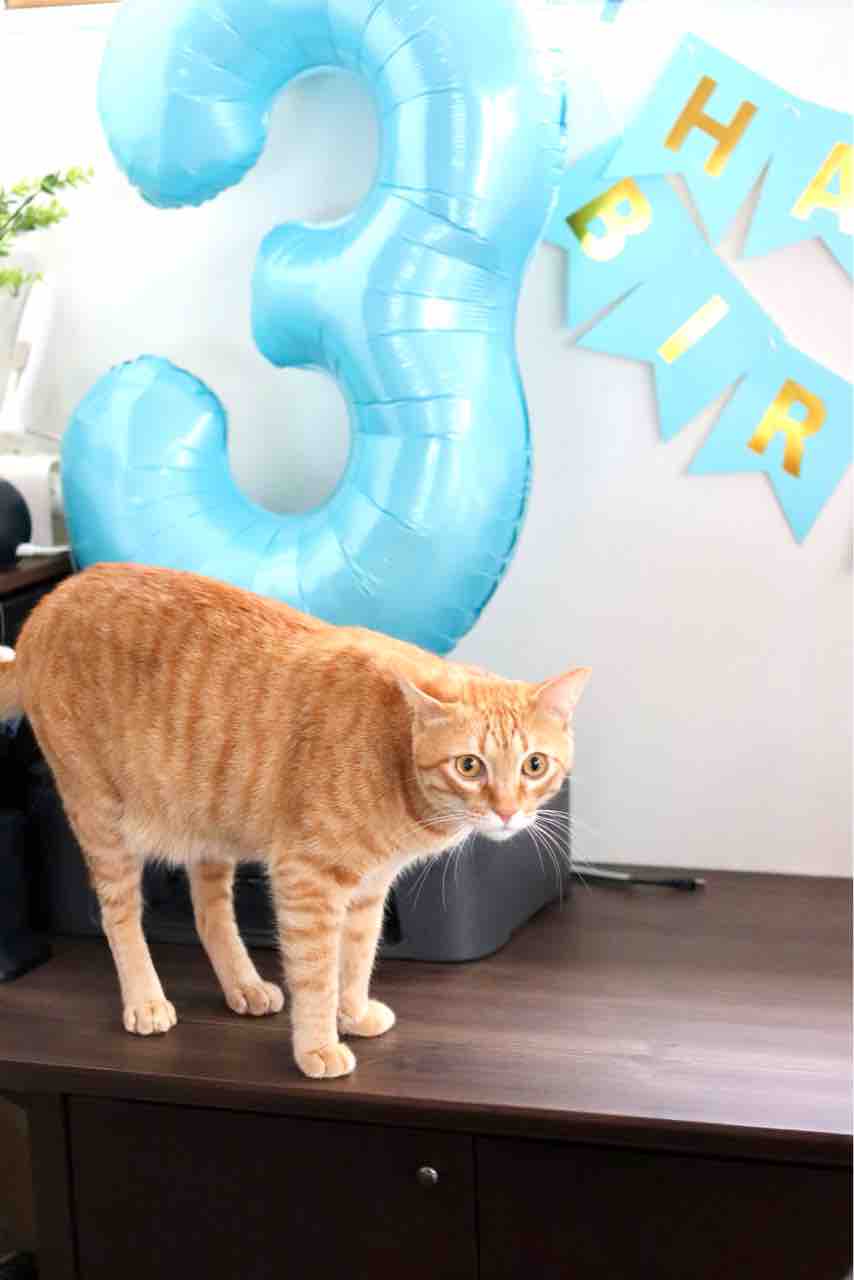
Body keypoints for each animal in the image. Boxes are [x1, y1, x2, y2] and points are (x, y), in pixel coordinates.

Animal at [0, 563, 590, 1079]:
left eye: (534, 765)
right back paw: (146, 1000)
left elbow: (357, 957)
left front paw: (353, 1014)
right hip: (101, 817)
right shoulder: (308, 881)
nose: (506, 811)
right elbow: (317, 973)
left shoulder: (369, 889)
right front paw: (318, 1046)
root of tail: (52, 601)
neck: (394, 754)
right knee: (118, 915)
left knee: (210, 915)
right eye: (469, 766)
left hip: (209, 828)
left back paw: (244, 986)